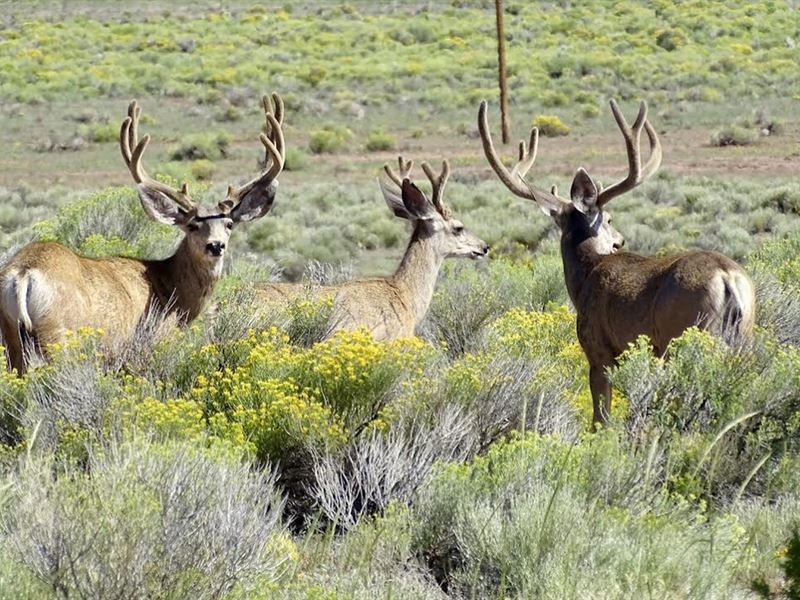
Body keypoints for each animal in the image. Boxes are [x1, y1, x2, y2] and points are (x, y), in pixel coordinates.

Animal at [0, 94, 288, 372]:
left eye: (228, 224)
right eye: (192, 225)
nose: (215, 245)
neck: (172, 290)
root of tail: (24, 273)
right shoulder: (153, 342)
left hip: (13, 341)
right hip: (61, 338)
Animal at [478, 99, 752, 426]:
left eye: (608, 218)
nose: (620, 241)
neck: (586, 274)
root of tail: (726, 277)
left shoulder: (598, 351)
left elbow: (601, 418)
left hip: (689, 334)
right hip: (744, 336)